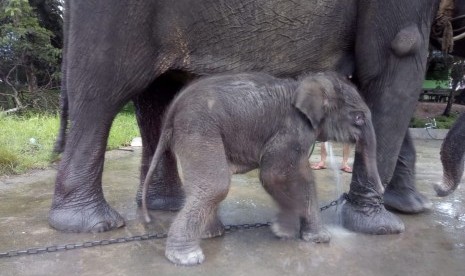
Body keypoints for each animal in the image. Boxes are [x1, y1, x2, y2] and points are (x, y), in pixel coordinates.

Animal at [50, 0, 456, 234]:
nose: (439, 191)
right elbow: (399, 55)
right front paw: (381, 227)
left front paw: (409, 208)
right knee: (101, 93)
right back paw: (93, 225)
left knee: (156, 97)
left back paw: (166, 208)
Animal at [141, 71, 380, 266]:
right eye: (358, 118)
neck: (304, 83)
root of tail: (174, 107)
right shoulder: (291, 130)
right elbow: (273, 175)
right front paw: (283, 230)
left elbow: (304, 179)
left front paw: (318, 239)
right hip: (198, 128)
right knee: (215, 185)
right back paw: (187, 257)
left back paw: (211, 234)